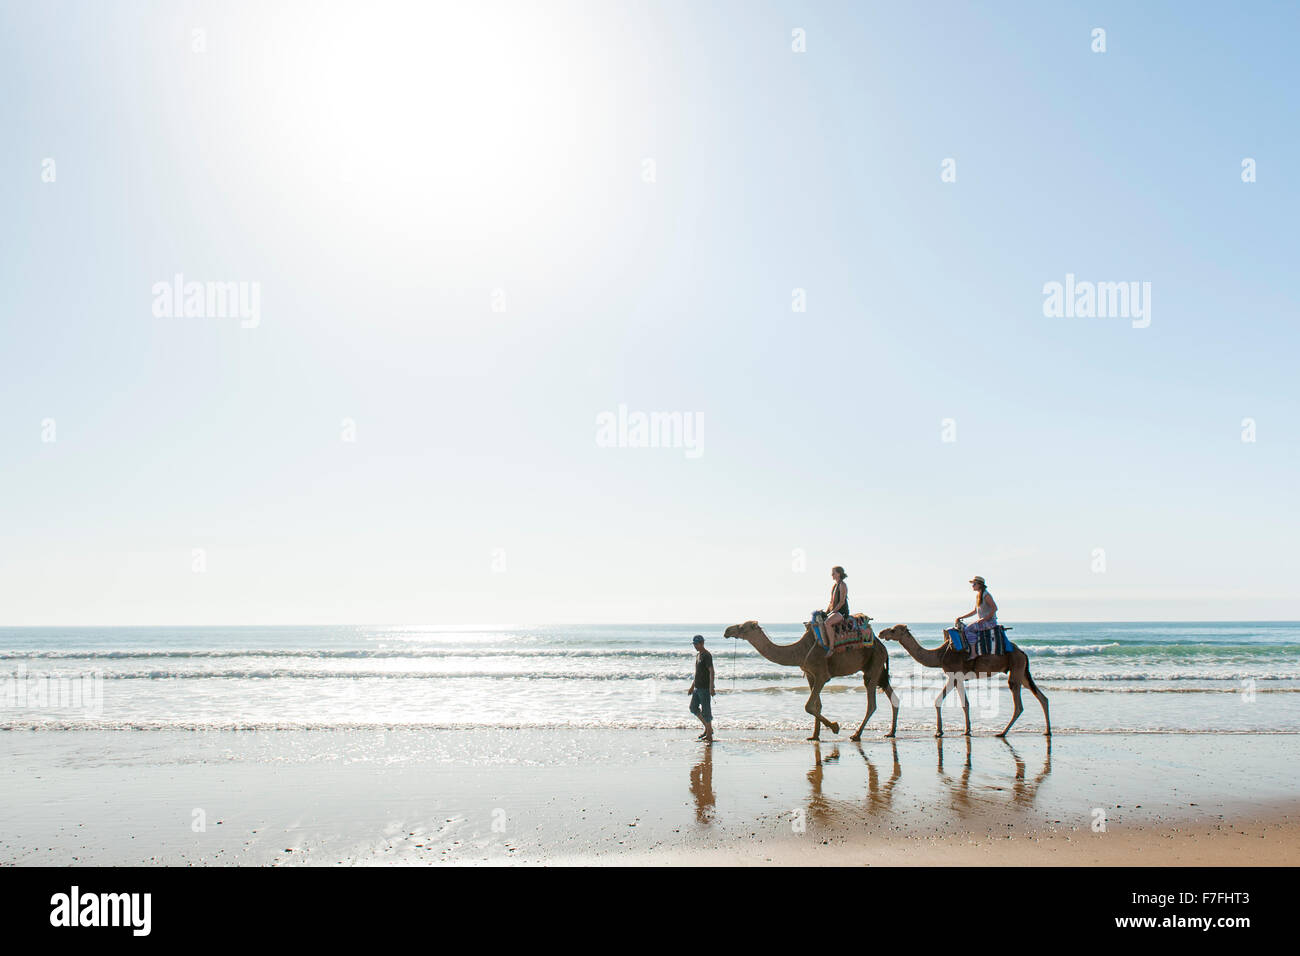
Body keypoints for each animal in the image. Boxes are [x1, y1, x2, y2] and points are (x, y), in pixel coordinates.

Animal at [722, 616, 894, 743]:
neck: (800, 651)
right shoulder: (811, 675)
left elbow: (808, 706)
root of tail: (883, 647)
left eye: (742, 627)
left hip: (873, 666)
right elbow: (817, 705)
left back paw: (856, 735)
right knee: (891, 695)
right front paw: (814, 736)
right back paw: (890, 733)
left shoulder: (822, 675)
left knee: (872, 703)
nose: (727, 630)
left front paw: (835, 727)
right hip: (877, 669)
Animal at [878, 624, 1050, 738]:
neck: (939, 655)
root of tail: (1022, 652)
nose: (881, 632)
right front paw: (943, 731)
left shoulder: (956, 674)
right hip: (1021, 671)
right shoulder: (953, 677)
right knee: (1042, 697)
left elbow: (961, 703)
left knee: (1018, 703)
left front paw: (951, 731)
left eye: (893, 630)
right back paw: (1047, 731)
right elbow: (943, 701)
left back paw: (1002, 732)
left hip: (1016, 667)